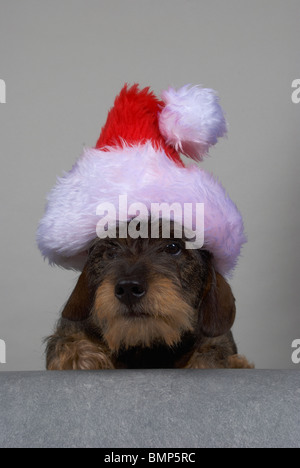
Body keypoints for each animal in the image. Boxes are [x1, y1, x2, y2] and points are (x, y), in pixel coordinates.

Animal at [45, 223, 252, 370]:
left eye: (173, 247)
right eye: (110, 252)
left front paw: (231, 363)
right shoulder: (72, 329)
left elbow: (214, 353)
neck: (146, 348)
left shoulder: (217, 340)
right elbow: (68, 342)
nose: (128, 288)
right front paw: (81, 359)